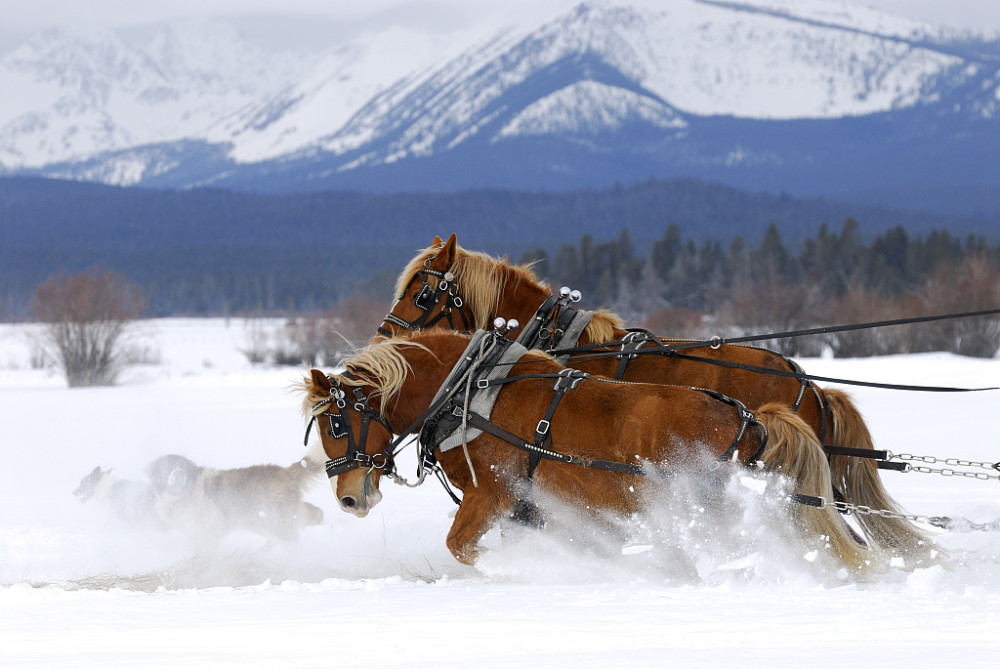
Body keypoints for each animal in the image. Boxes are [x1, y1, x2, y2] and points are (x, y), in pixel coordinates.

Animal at [300, 328, 872, 568]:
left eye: (335, 421)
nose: (348, 497)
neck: (471, 391)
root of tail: (750, 419)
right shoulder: (538, 508)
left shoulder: (494, 493)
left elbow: (460, 547)